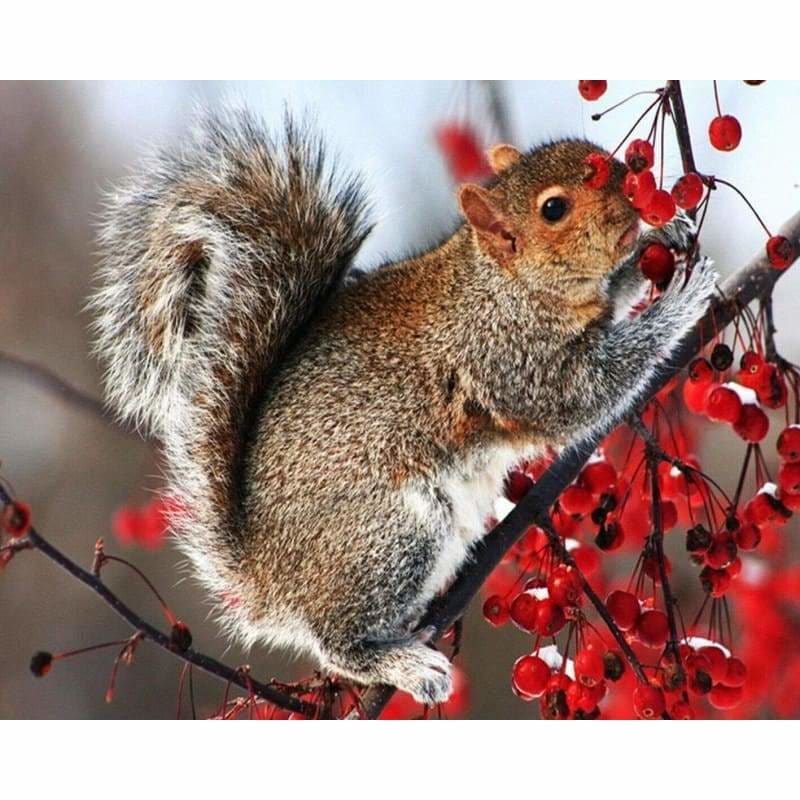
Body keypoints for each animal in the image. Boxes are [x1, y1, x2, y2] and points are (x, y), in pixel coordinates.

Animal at [92, 107, 716, 704]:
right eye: (554, 209)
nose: (634, 192)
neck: (504, 284)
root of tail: (267, 578)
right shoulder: (511, 361)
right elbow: (588, 392)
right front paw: (681, 301)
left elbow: (617, 295)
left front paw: (666, 236)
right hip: (393, 533)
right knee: (337, 643)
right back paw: (404, 666)